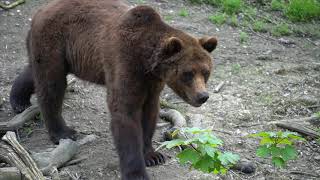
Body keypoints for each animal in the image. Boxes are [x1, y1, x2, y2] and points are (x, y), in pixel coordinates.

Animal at [9, 0, 218, 179]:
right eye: (188, 73)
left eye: (206, 72)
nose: (203, 96)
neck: (147, 61)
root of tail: (41, 10)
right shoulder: (125, 63)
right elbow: (125, 114)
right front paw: (137, 173)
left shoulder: (152, 83)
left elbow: (150, 113)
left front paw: (152, 155)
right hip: (55, 40)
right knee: (51, 84)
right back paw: (63, 131)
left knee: (35, 71)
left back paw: (18, 100)